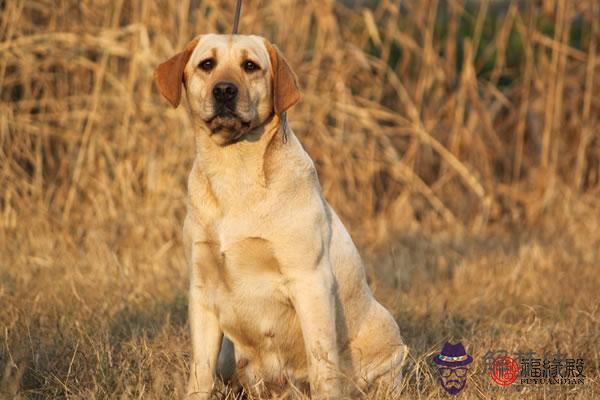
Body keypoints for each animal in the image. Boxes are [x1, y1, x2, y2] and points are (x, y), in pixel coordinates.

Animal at [155, 35, 408, 400]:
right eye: (207, 64)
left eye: (250, 65)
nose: (225, 91)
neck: (235, 172)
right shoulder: (202, 291)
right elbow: (199, 375)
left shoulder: (310, 281)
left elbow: (322, 367)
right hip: (229, 356)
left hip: (387, 338)